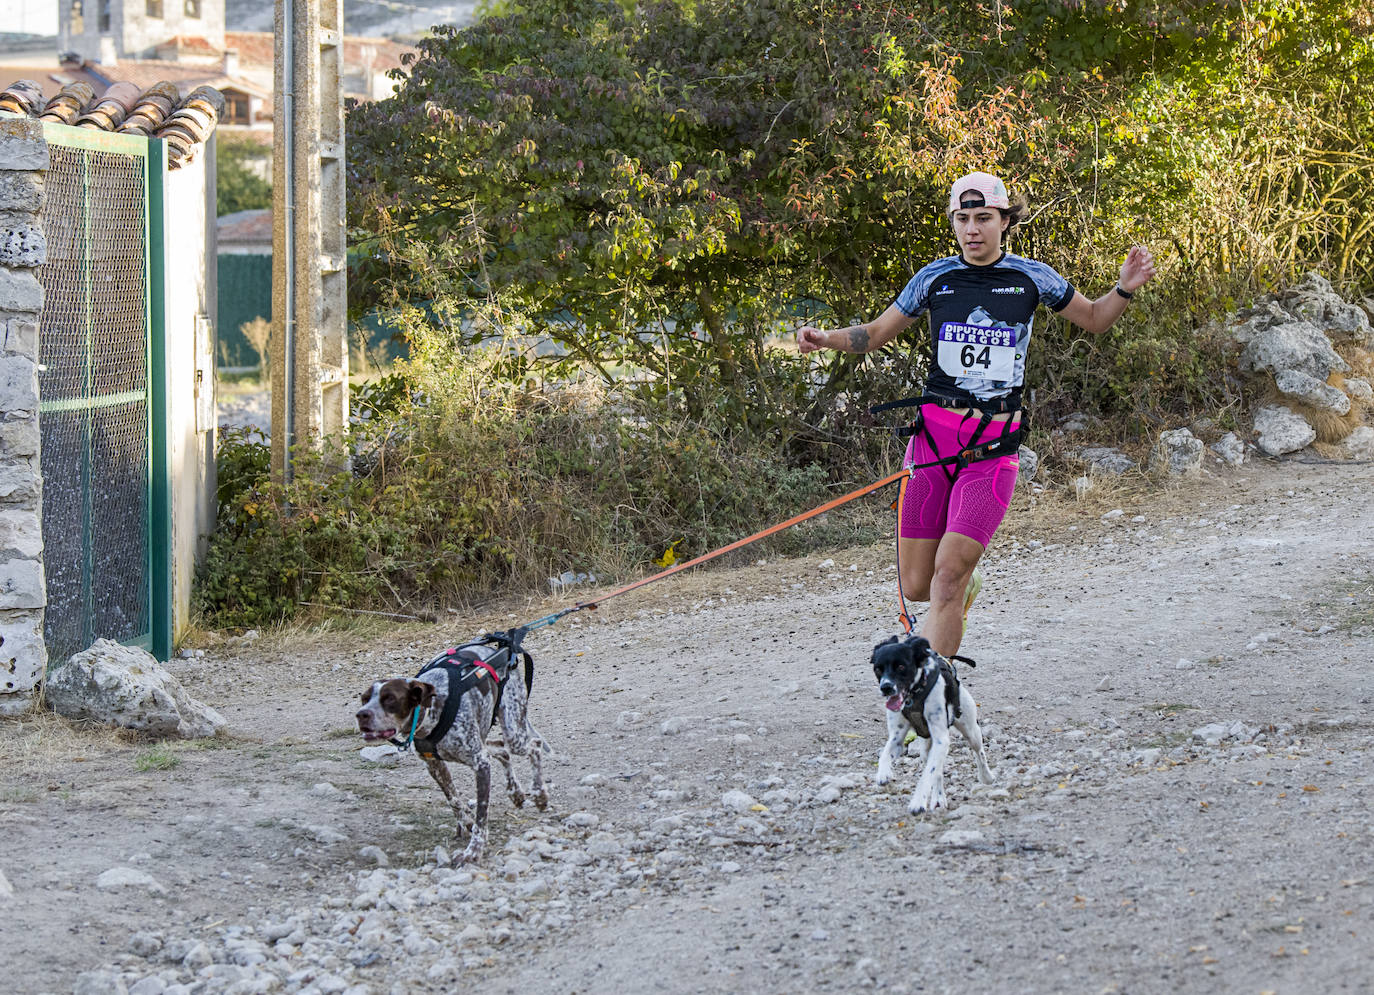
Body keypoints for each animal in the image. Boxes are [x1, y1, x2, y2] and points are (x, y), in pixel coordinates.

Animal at [357, 632, 549, 868]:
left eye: (390, 698)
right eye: (364, 699)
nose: (361, 714)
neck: (434, 708)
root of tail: (505, 647)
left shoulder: (480, 763)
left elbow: (481, 813)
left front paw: (474, 850)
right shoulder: (435, 765)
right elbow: (454, 799)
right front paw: (465, 820)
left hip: (514, 733)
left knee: (534, 746)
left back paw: (540, 794)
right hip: (487, 739)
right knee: (501, 750)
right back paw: (515, 793)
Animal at [873, 632, 994, 813]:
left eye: (901, 666)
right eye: (878, 669)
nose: (886, 687)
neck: (914, 696)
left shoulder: (941, 739)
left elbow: (926, 776)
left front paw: (918, 801)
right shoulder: (897, 738)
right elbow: (885, 755)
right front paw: (883, 773)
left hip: (971, 731)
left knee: (979, 753)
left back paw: (986, 777)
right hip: (926, 750)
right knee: (937, 770)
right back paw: (938, 798)